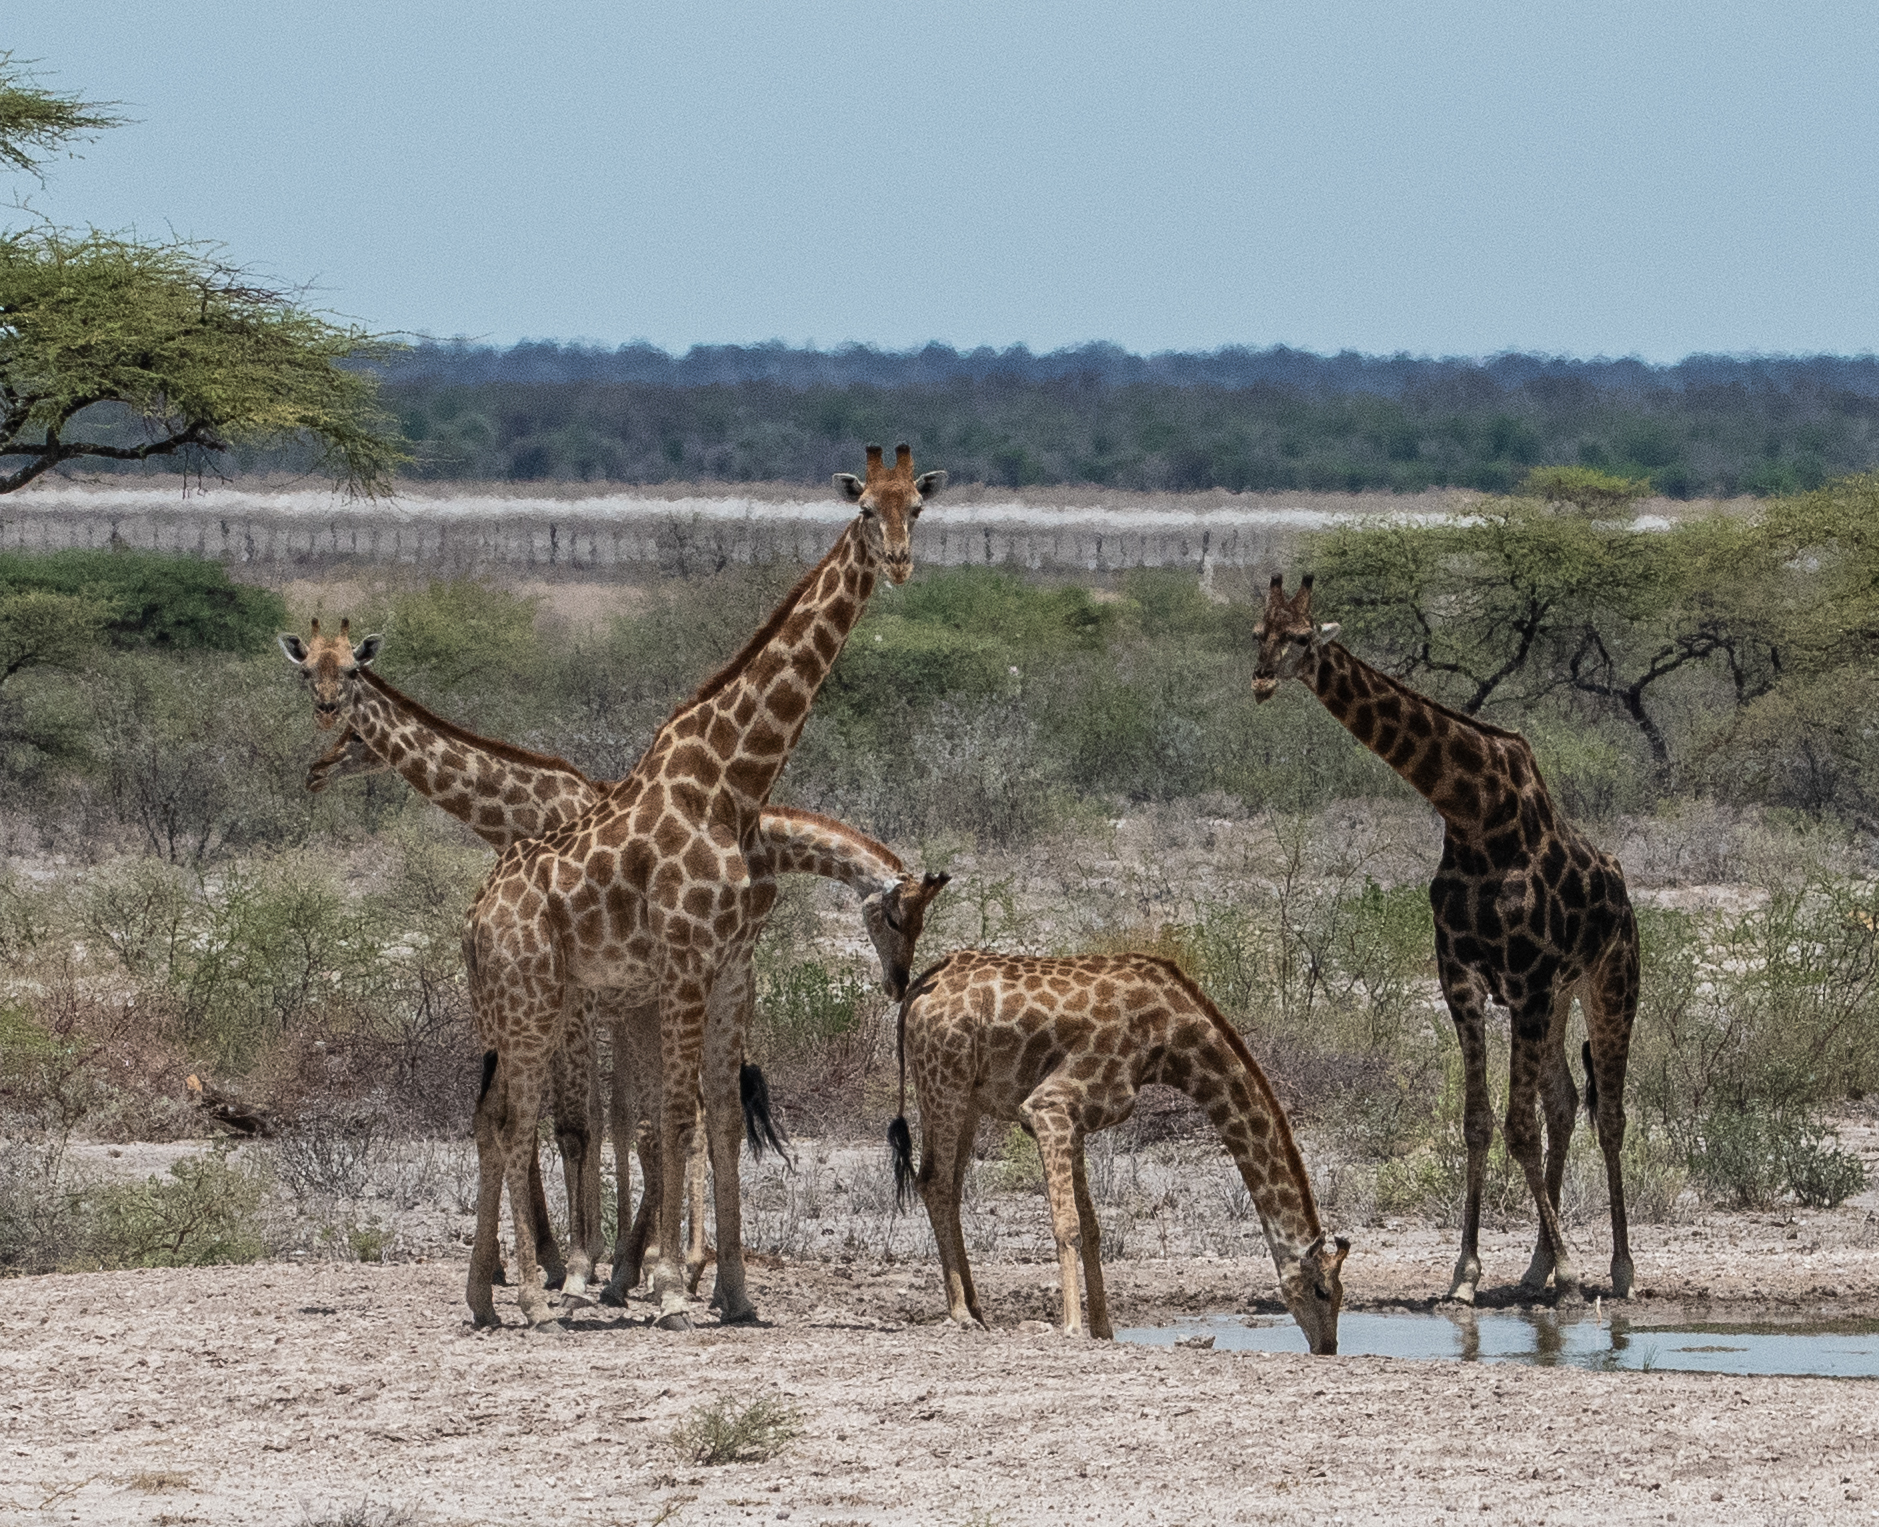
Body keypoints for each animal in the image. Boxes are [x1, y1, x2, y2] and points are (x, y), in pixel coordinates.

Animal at [276, 619, 939, 1307]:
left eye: (353, 692)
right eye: (311, 673)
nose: (317, 764)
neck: (520, 812)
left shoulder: (594, 998)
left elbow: (592, 1120)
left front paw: (587, 1262)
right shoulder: (583, 996)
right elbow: (585, 1118)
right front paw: (576, 1262)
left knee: (681, 1110)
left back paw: (673, 1264)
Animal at [464, 437, 947, 1322]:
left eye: (919, 509)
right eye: (867, 509)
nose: (897, 561)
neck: (730, 782)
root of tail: (476, 914)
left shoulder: (727, 969)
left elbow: (721, 1117)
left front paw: (734, 1291)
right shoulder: (684, 962)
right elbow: (674, 1118)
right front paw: (666, 1289)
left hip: (517, 1004)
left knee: (497, 1117)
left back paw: (490, 1295)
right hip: (532, 1001)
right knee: (514, 1120)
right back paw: (529, 1298)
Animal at [886, 946, 1345, 1352]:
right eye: (1321, 1290)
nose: (1327, 1347)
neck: (1171, 1039)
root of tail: (914, 992)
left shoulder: (1077, 1121)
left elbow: (1091, 1227)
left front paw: (1104, 1330)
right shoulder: (1048, 1106)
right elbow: (1068, 1224)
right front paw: (1072, 1328)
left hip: (969, 1099)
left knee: (949, 1186)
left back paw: (979, 1311)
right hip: (945, 1082)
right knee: (935, 1182)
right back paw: (961, 1314)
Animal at [1255, 570, 1638, 1299]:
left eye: (1302, 637)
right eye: (1257, 632)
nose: (1260, 680)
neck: (1472, 815)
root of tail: (1624, 891)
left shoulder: (1528, 984)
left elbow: (1516, 1127)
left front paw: (1573, 1272)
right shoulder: (1465, 981)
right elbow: (1479, 1124)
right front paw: (1466, 1274)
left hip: (1609, 984)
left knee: (1608, 1113)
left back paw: (1619, 1270)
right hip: (1559, 998)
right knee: (1565, 1104)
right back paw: (1536, 1268)